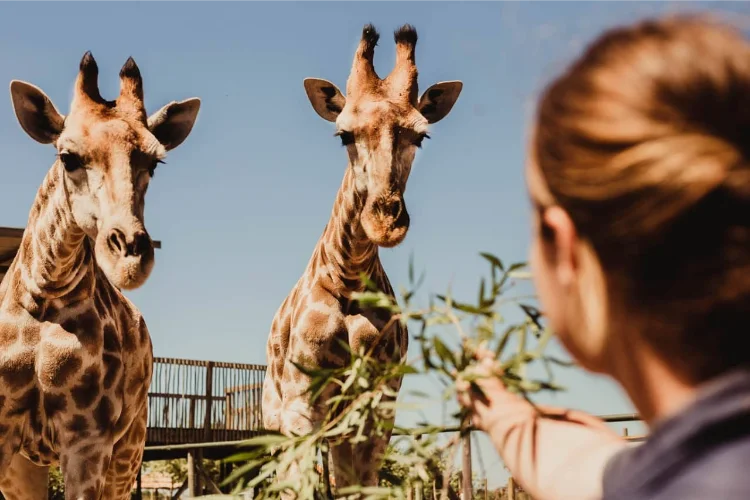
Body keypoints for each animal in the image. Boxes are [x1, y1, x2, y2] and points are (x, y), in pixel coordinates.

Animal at [0, 52, 200, 499]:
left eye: (154, 162)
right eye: (68, 157)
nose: (130, 259)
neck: (43, 296)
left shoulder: (88, 440)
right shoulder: (5, 438)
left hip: (129, 451)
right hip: (29, 466)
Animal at [261, 23, 462, 496]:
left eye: (421, 135)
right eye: (344, 135)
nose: (384, 222)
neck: (349, 279)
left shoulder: (378, 406)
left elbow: (361, 485)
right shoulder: (301, 402)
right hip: (275, 420)